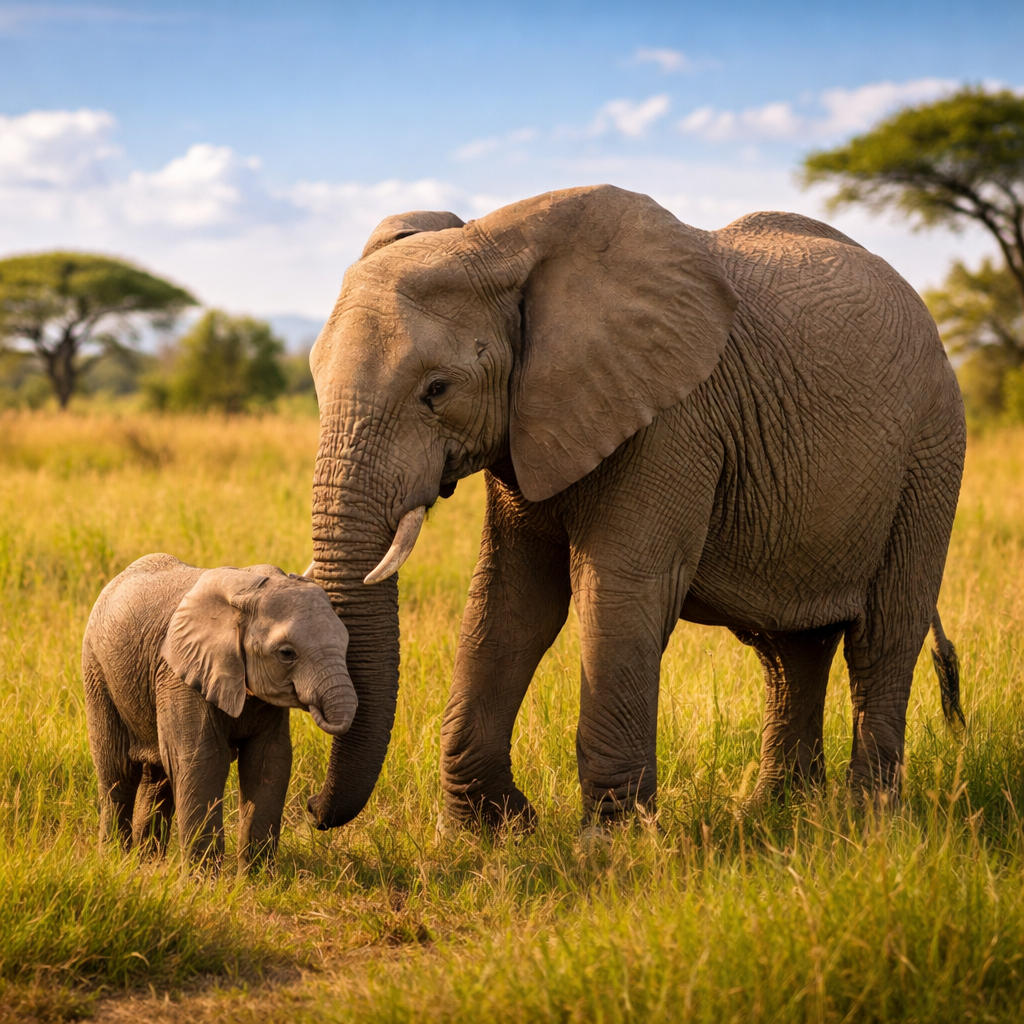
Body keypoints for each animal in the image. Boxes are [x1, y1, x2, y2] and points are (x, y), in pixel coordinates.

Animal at [82, 554, 357, 866]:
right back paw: (114, 860)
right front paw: (202, 877)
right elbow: (202, 760)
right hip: (97, 671)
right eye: (287, 654)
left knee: (158, 777)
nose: (312, 809)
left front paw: (256, 876)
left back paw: (147, 864)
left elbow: (269, 760)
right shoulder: (181, 675)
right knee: (117, 771)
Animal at [304, 184, 965, 831]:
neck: (498, 241)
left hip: (931, 450)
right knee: (788, 650)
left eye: (437, 390)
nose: (310, 809)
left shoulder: (672, 420)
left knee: (883, 636)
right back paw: (777, 815)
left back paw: (870, 824)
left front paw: (612, 840)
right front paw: (492, 831)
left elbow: (619, 590)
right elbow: (510, 599)